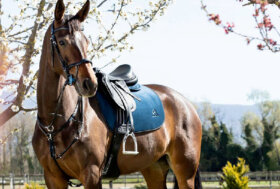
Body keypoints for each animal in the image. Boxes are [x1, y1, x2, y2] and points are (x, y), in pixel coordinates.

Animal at [32, 0, 201, 188]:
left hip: (185, 173)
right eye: (62, 42)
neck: (56, 125)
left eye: (86, 42)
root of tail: (186, 104)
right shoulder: (53, 178)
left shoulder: (92, 175)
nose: (89, 84)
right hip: (154, 169)